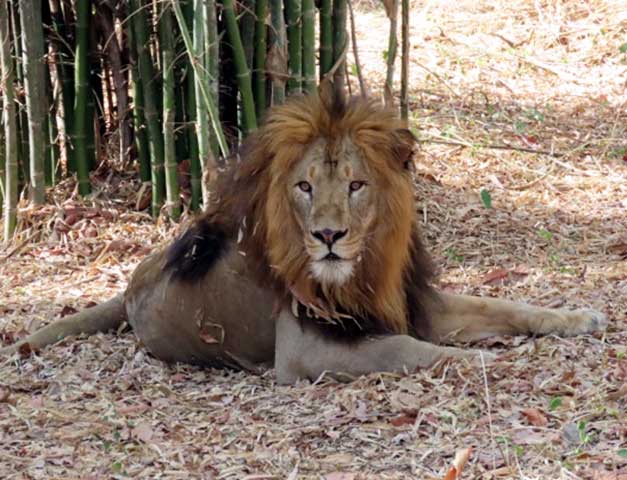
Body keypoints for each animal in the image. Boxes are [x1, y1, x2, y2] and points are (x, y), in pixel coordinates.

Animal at [0, 89, 608, 382]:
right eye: (305, 186)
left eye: (357, 185)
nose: (329, 235)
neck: (365, 268)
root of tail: (131, 282)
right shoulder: (304, 351)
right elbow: (408, 350)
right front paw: (485, 363)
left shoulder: (412, 303)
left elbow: (503, 305)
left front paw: (580, 318)